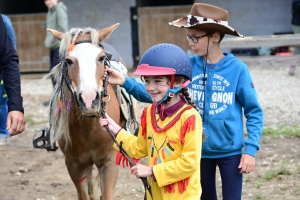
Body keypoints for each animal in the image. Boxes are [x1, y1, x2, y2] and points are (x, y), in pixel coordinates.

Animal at [46, 23, 125, 200]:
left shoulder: (109, 163)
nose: (89, 100)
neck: (90, 126)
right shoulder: (73, 165)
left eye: (101, 58)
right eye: (69, 61)